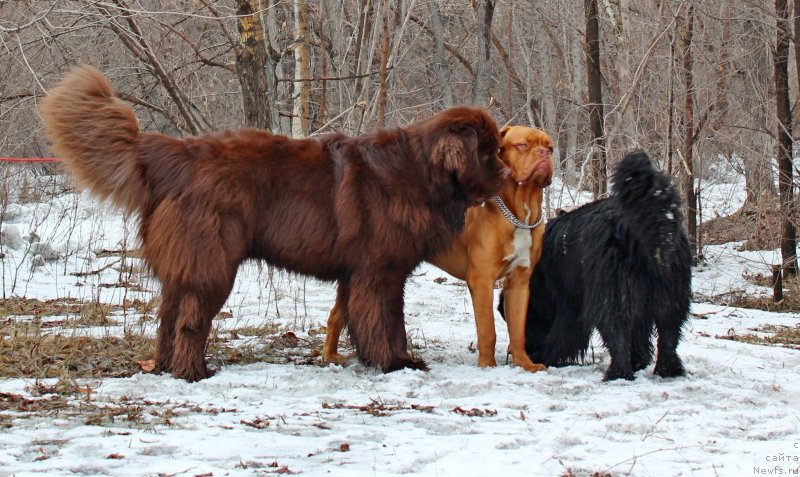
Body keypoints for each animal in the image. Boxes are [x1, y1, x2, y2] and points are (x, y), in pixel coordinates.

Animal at [39, 65, 506, 382]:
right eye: (487, 154)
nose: (507, 175)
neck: (420, 173)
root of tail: (176, 154)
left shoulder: (357, 273)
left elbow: (354, 317)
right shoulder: (380, 272)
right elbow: (387, 321)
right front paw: (397, 362)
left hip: (187, 264)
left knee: (169, 317)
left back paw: (169, 367)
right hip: (213, 262)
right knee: (191, 319)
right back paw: (194, 371)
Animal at [504, 151, 692, 382]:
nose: (520, 351)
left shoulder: (570, 303)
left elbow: (564, 334)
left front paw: (546, 356)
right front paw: (638, 361)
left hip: (612, 291)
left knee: (617, 329)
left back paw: (618, 373)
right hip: (672, 294)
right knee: (668, 332)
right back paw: (667, 370)